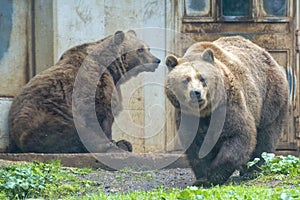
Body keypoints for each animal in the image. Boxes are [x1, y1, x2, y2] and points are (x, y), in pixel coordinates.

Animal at [8, 30, 161, 153]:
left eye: (148, 47)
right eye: (140, 49)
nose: (157, 60)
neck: (111, 66)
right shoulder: (96, 81)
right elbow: (103, 112)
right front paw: (112, 140)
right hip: (47, 117)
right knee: (74, 134)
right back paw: (118, 145)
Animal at [165, 36, 290, 188]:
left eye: (202, 78)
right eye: (185, 79)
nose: (196, 93)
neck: (205, 112)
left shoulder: (228, 105)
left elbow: (238, 135)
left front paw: (213, 176)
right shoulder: (188, 116)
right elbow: (196, 146)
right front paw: (201, 179)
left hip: (270, 96)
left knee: (265, 135)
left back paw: (252, 170)